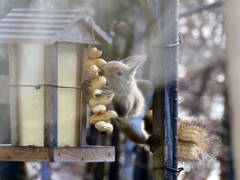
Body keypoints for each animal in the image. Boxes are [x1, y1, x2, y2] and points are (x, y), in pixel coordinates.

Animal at [81, 55, 220, 168]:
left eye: (119, 73)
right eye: (107, 63)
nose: (101, 71)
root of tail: (143, 116)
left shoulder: (131, 101)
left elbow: (123, 111)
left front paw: (110, 90)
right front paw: (86, 85)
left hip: (145, 92)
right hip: (130, 129)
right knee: (139, 138)